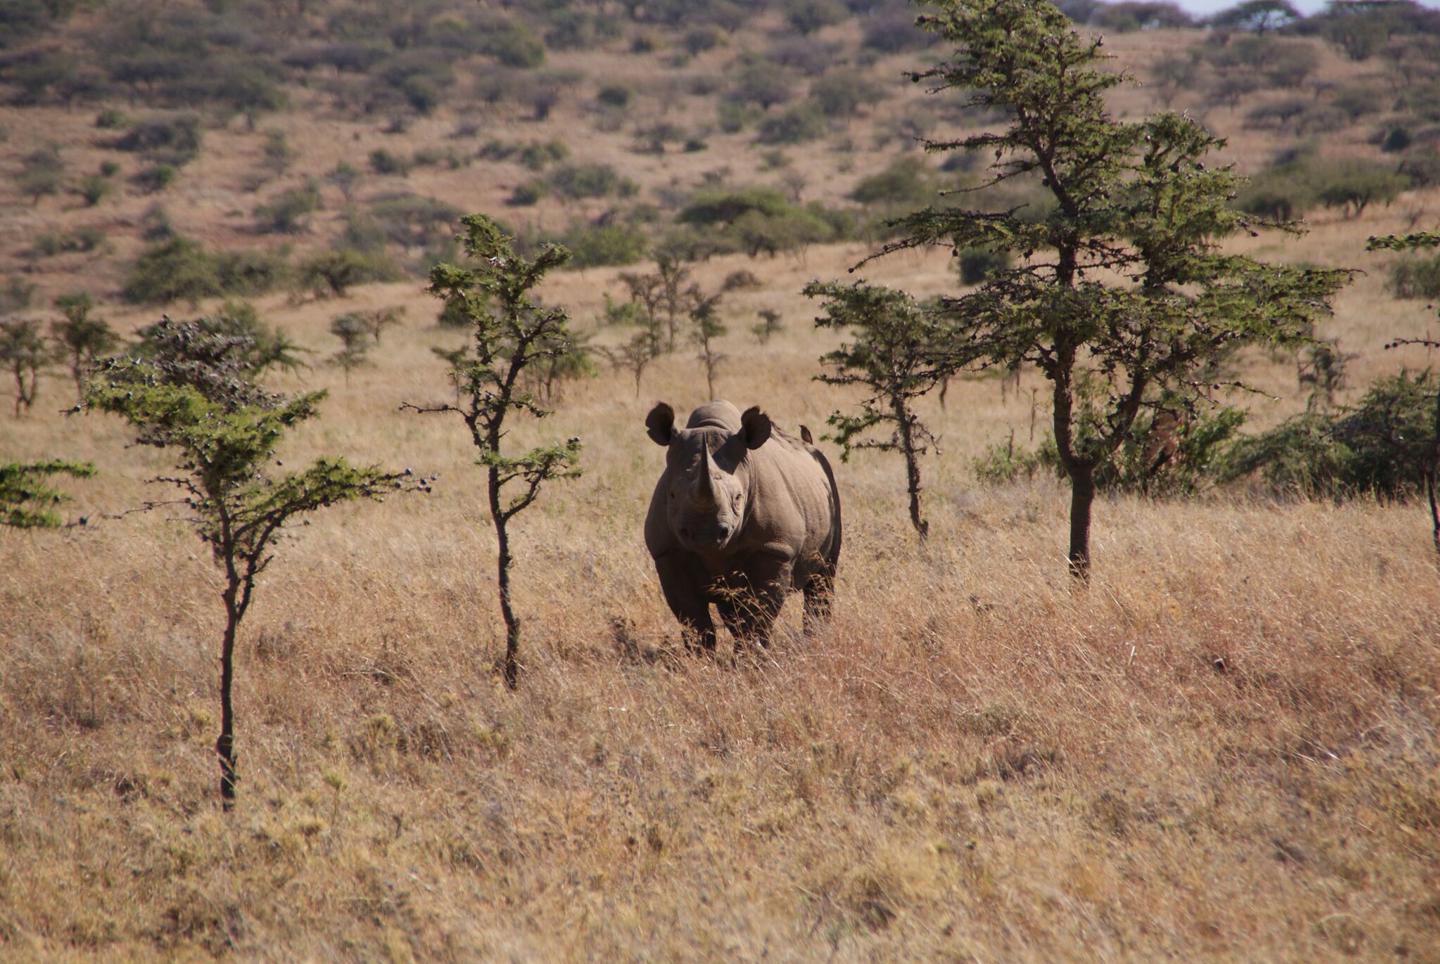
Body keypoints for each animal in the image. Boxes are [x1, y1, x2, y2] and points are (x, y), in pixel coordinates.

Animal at [644, 400, 842, 653]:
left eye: (738, 497)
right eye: (672, 495)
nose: (705, 535)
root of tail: (810, 447)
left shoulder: (774, 549)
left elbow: (758, 615)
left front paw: (751, 657)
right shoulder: (668, 551)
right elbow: (693, 617)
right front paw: (700, 658)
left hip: (830, 489)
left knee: (823, 578)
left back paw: (815, 642)